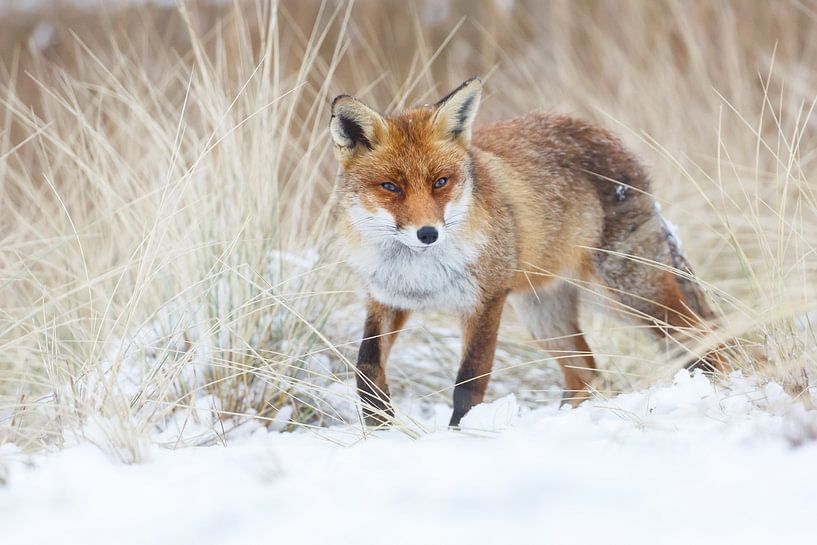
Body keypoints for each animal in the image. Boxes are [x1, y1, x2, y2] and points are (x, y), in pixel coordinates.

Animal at [328, 77, 724, 424]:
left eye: (440, 182)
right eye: (390, 187)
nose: (428, 234)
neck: (420, 274)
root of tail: (607, 137)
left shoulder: (486, 300)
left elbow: (468, 383)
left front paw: (460, 433)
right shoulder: (387, 298)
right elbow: (365, 368)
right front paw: (379, 422)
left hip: (628, 296)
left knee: (702, 335)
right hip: (546, 319)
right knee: (585, 372)